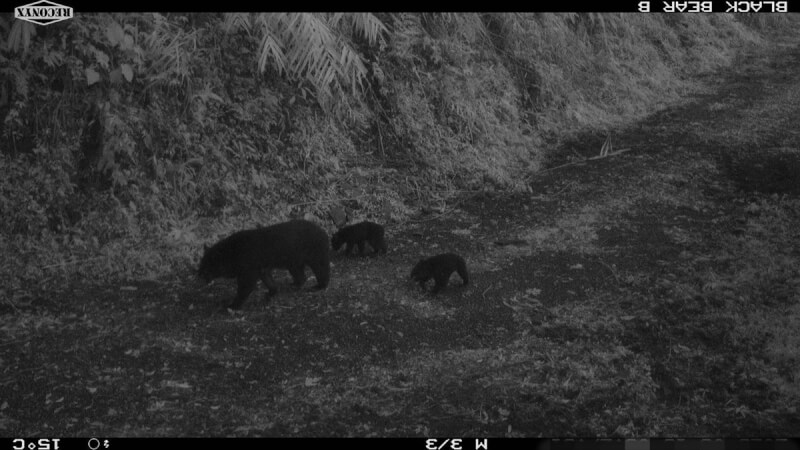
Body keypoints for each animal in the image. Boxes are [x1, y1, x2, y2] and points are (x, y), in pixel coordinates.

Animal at [200, 220, 332, 312]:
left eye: (206, 266)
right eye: (201, 264)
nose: (199, 274)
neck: (232, 253)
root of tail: (324, 232)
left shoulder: (248, 266)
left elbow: (246, 285)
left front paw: (232, 306)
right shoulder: (261, 267)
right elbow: (267, 278)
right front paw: (271, 292)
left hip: (314, 252)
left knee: (320, 268)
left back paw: (319, 286)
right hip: (293, 259)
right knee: (299, 273)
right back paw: (293, 285)